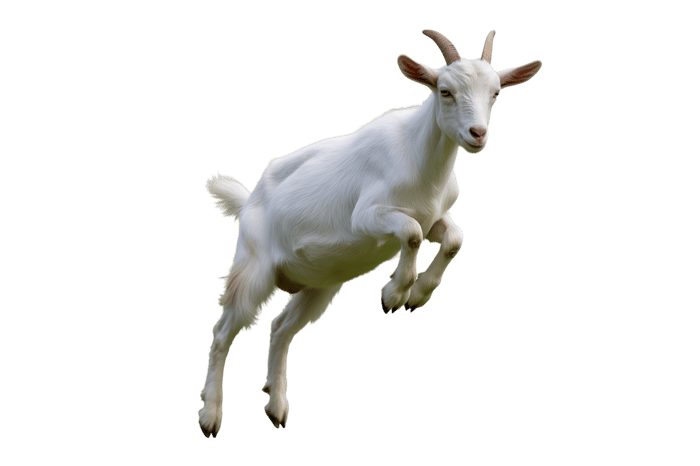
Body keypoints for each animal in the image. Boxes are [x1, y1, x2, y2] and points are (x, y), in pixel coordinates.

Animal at [198, 29, 542, 437]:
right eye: (444, 90)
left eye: (496, 93)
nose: (477, 134)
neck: (422, 163)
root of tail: (250, 199)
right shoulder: (366, 216)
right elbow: (410, 233)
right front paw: (394, 295)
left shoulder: (435, 217)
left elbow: (454, 239)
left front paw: (418, 295)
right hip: (255, 267)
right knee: (223, 331)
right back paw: (210, 416)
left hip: (319, 284)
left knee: (280, 328)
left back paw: (276, 406)